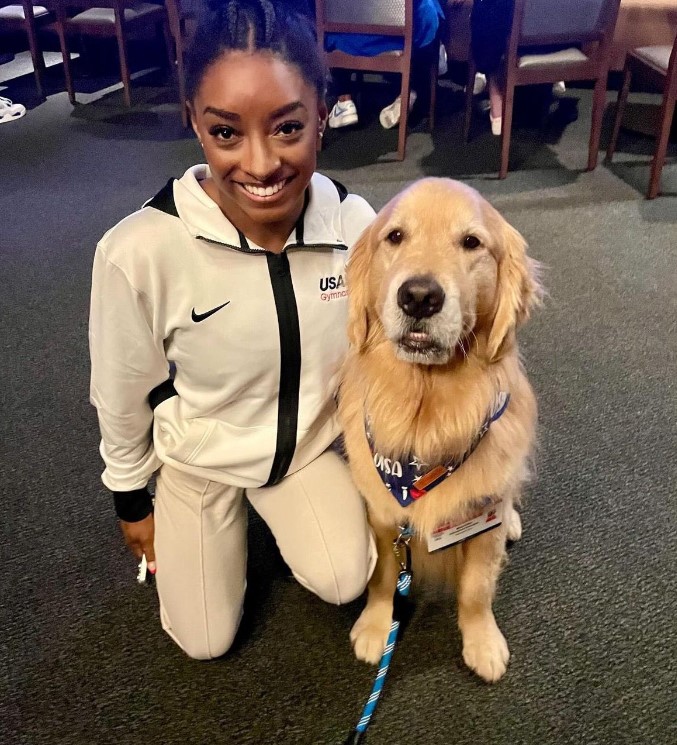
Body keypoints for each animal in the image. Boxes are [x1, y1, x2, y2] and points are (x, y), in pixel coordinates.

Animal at [340, 179, 540, 680]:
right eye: (395, 236)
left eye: (471, 242)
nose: (419, 296)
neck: (426, 415)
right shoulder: (383, 513)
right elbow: (383, 577)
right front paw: (376, 625)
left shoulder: (481, 519)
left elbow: (476, 589)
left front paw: (482, 641)